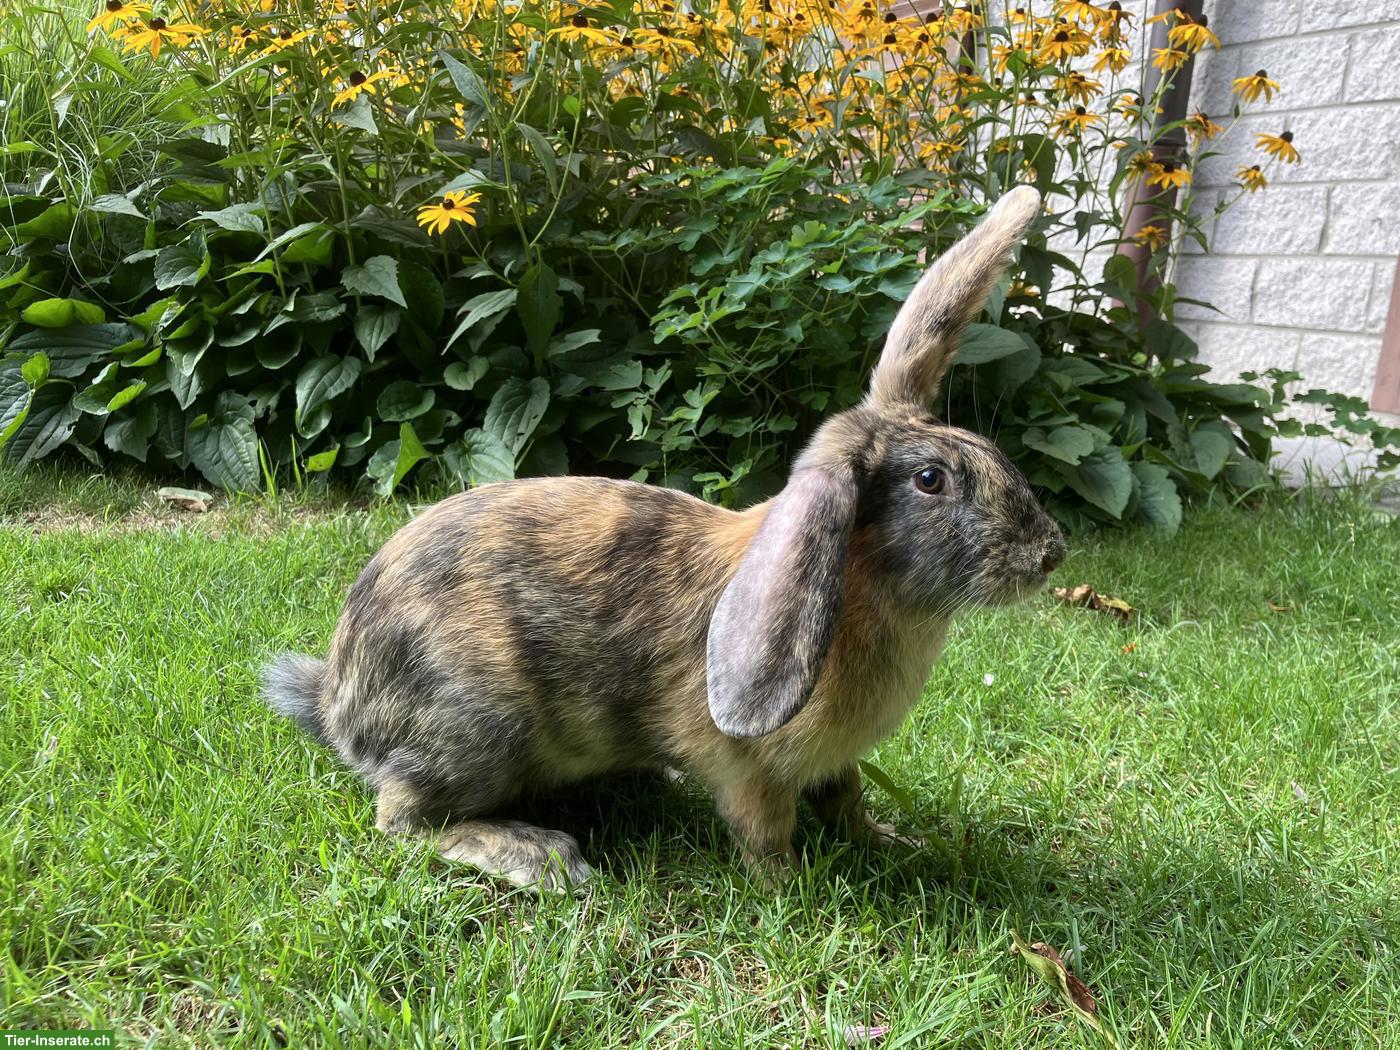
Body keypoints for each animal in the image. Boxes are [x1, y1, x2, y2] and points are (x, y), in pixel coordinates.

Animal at [263, 185, 1065, 891]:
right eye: (931, 480)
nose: (1050, 554)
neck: (854, 577)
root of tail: (340, 703)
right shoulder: (751, 772)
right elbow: (765, 833)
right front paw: (794, 888)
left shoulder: (833, 766)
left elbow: (847, 802)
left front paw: (887, 842)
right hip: (477, 727)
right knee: (403, 819)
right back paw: (541, 857)